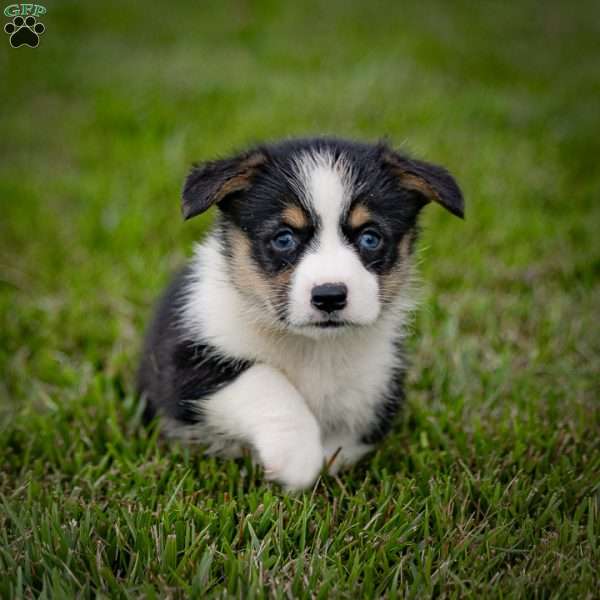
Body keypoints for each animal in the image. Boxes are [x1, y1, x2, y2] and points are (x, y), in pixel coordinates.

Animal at [137, 138, 464, 490]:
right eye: (284, 238)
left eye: (370, 237)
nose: (329, 296)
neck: (312, 346)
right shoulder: (187, 364)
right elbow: (264, 380)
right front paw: (296, 457)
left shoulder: (378, 385)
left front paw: (327, 458)